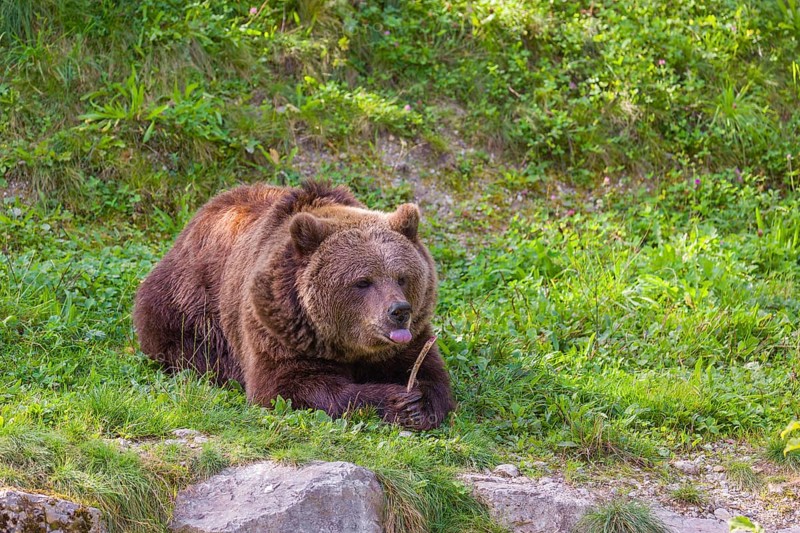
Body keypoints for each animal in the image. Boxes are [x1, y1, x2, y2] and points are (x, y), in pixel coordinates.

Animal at [133, 181, 455, 430]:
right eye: (363, 281)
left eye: (401, 277)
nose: (399, 311)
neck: (346, 344)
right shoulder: (279, 327)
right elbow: (289, 386)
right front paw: (397, 400)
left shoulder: (411, 338)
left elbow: (429, 372)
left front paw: (419, 404)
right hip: (190, 302)